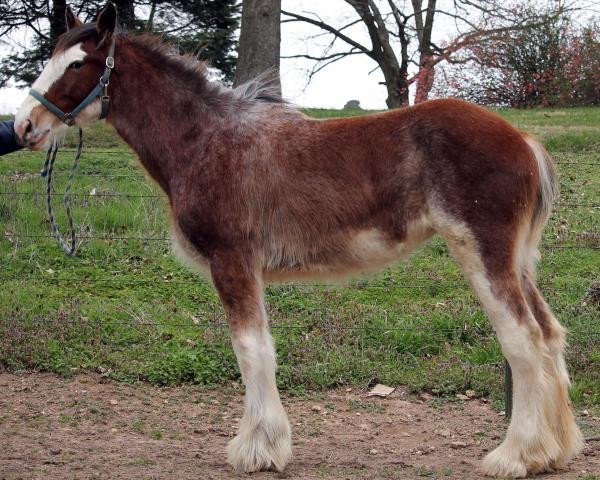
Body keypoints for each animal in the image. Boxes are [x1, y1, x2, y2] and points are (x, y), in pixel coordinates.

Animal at [14, 2, 584, 476]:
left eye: (78, 64)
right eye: (51, 57)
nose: (23, 126)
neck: (207, 141)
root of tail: (523, 140)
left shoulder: (233, 263)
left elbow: (251, 351)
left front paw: (258, 450)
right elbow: (257, 349)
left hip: (484, 254)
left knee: (523, 341)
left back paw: (515, 456)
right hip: (518, 261)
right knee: (550, 334)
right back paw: (551, 452)